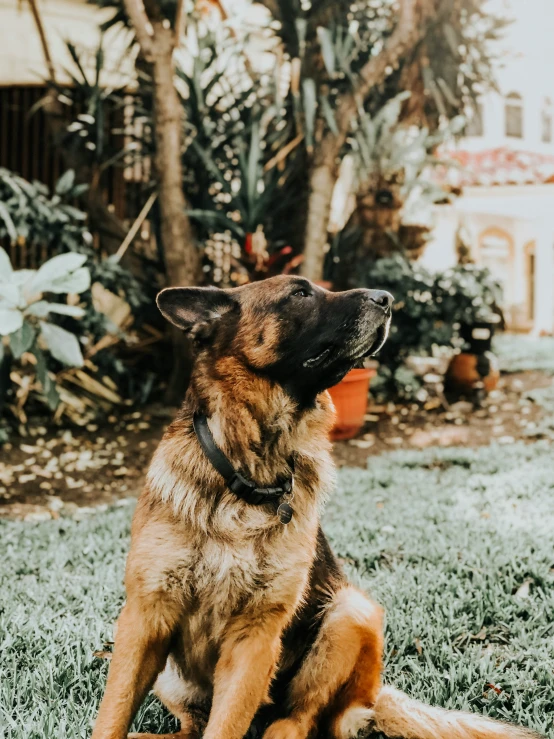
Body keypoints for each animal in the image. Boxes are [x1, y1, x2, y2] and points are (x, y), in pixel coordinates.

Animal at [91, 278, 536, 739]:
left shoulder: (255, 638)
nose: (388, 299)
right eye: (300, 294)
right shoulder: (144, 620)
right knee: (194, 725)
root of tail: (371, 698)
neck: (249, 475)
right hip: (172, 676)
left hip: (350, 614)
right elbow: (112, 716)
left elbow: (227, 726)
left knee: (297, 719)